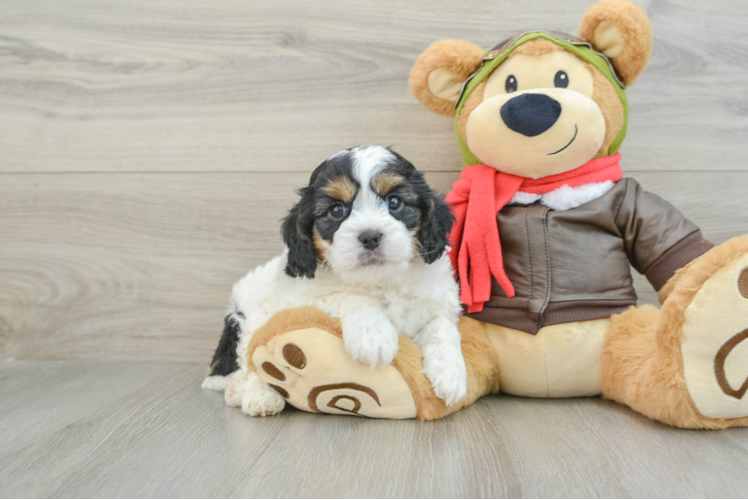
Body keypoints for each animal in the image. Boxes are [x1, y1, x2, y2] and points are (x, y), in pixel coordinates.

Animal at [202, 146, 464, 418]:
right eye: (337, 210)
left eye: (395, 202)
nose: (370, 236)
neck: (379, 281)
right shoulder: (302, 299)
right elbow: (348, 296)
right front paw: (373, 334)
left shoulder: (439, 298)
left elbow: (442, 324)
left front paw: (451, 374)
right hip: (252, 315)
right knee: (252, 361)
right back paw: (256, 395)